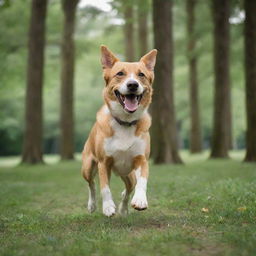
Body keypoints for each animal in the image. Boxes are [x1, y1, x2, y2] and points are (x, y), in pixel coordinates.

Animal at [82, 45, 157, 216]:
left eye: (141, 74)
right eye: (120, 73)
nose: (133, 85)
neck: (125, 123)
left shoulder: (141, 159)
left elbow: (142, 182)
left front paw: (140, 200)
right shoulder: (103, 163)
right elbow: (104, 188)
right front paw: (108, 207)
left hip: (128, 174)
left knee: (129, 189)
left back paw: (123, 208)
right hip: (87, 167)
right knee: (91, 184)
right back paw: (92, 205)